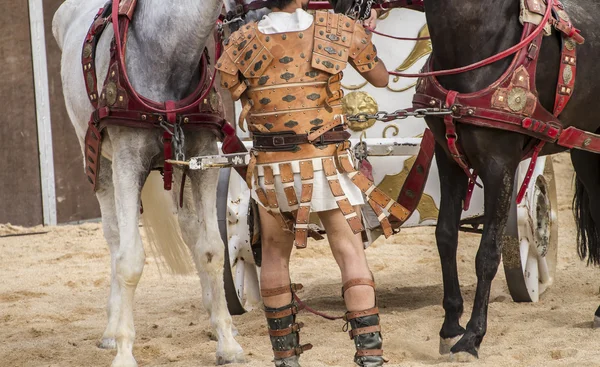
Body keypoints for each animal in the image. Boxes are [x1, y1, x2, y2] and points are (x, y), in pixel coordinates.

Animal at [52, 1, 245, 366]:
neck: (167, 51)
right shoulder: (128, 162)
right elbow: (129, 261)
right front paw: (125, 351)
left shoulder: (203, 158)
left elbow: (212, 249)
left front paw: (227, 342)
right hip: (101, 166)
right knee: (115, 239)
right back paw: (112, 330)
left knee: (190, 231)